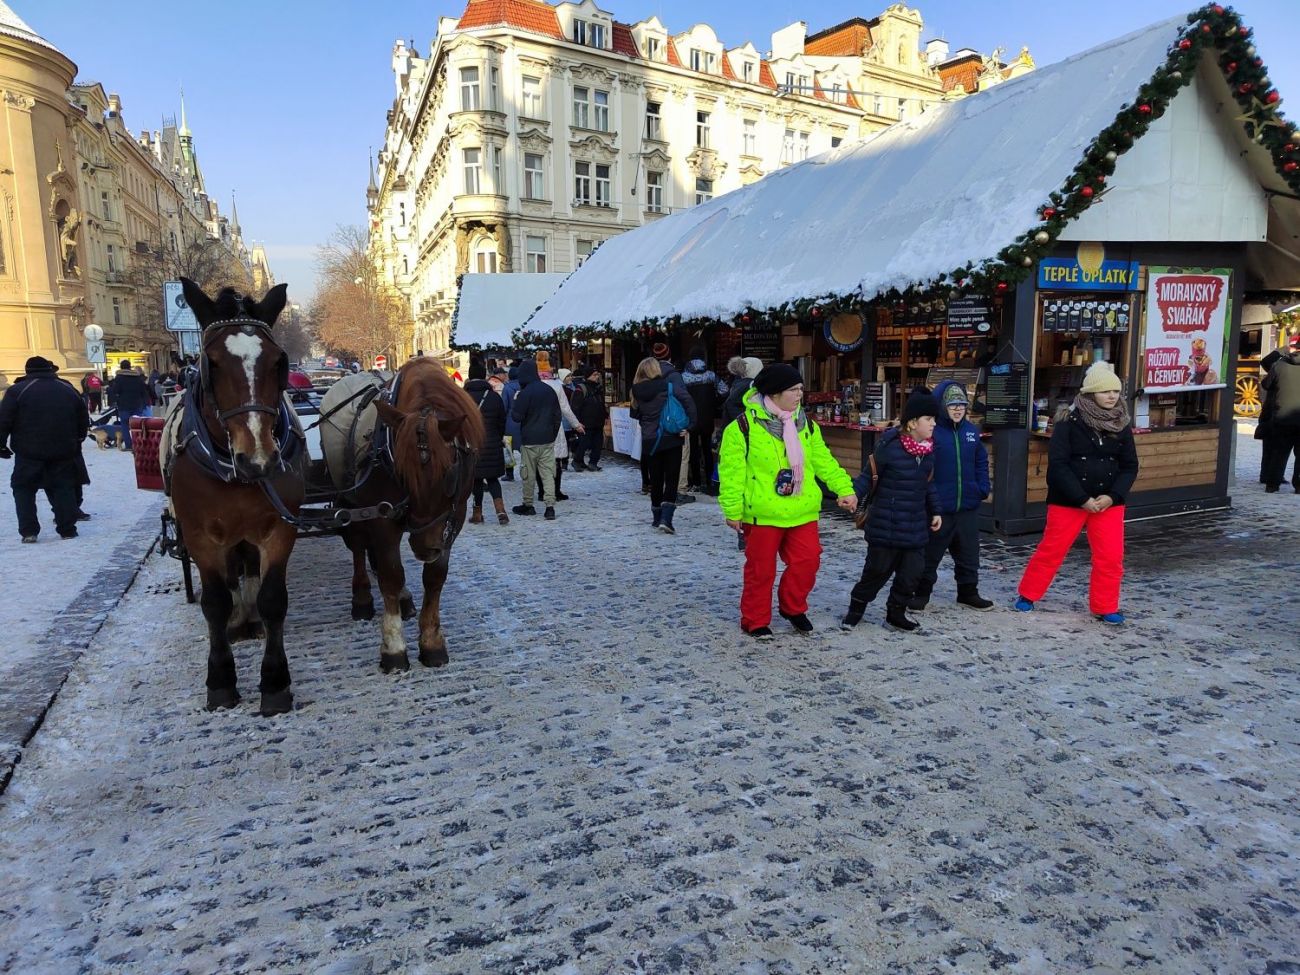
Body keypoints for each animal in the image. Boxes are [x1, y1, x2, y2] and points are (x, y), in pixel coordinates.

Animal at [167, 277, 304, 715]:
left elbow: (273, 598)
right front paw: (221, 680)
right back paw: (236, 622)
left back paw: (250, 617)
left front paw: (275, 683)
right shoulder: (199, 536)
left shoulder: (280, 527)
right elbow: (213, 602)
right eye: (211, 364)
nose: (258, 457)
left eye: (278, 362)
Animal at [327, 358, 483, 673]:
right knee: (359, 548)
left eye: (450, 475)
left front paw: (432, 642)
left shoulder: (453, 518)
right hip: (353, 506)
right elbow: (391, 574)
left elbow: (434, 577)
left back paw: (404, 599)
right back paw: (362, 597)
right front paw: (394, 647)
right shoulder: (382, 517)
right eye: (402, 474)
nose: (424, 547)